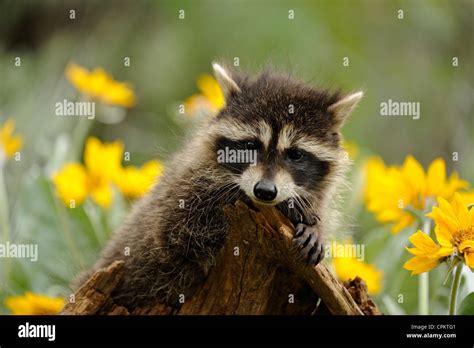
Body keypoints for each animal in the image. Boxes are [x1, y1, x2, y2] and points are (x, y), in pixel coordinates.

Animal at [79, 62, 364, 308]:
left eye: (295, 155)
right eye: (250, 146)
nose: (265, 191)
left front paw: (314, 227)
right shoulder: (184, 192)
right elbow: (180, 234)